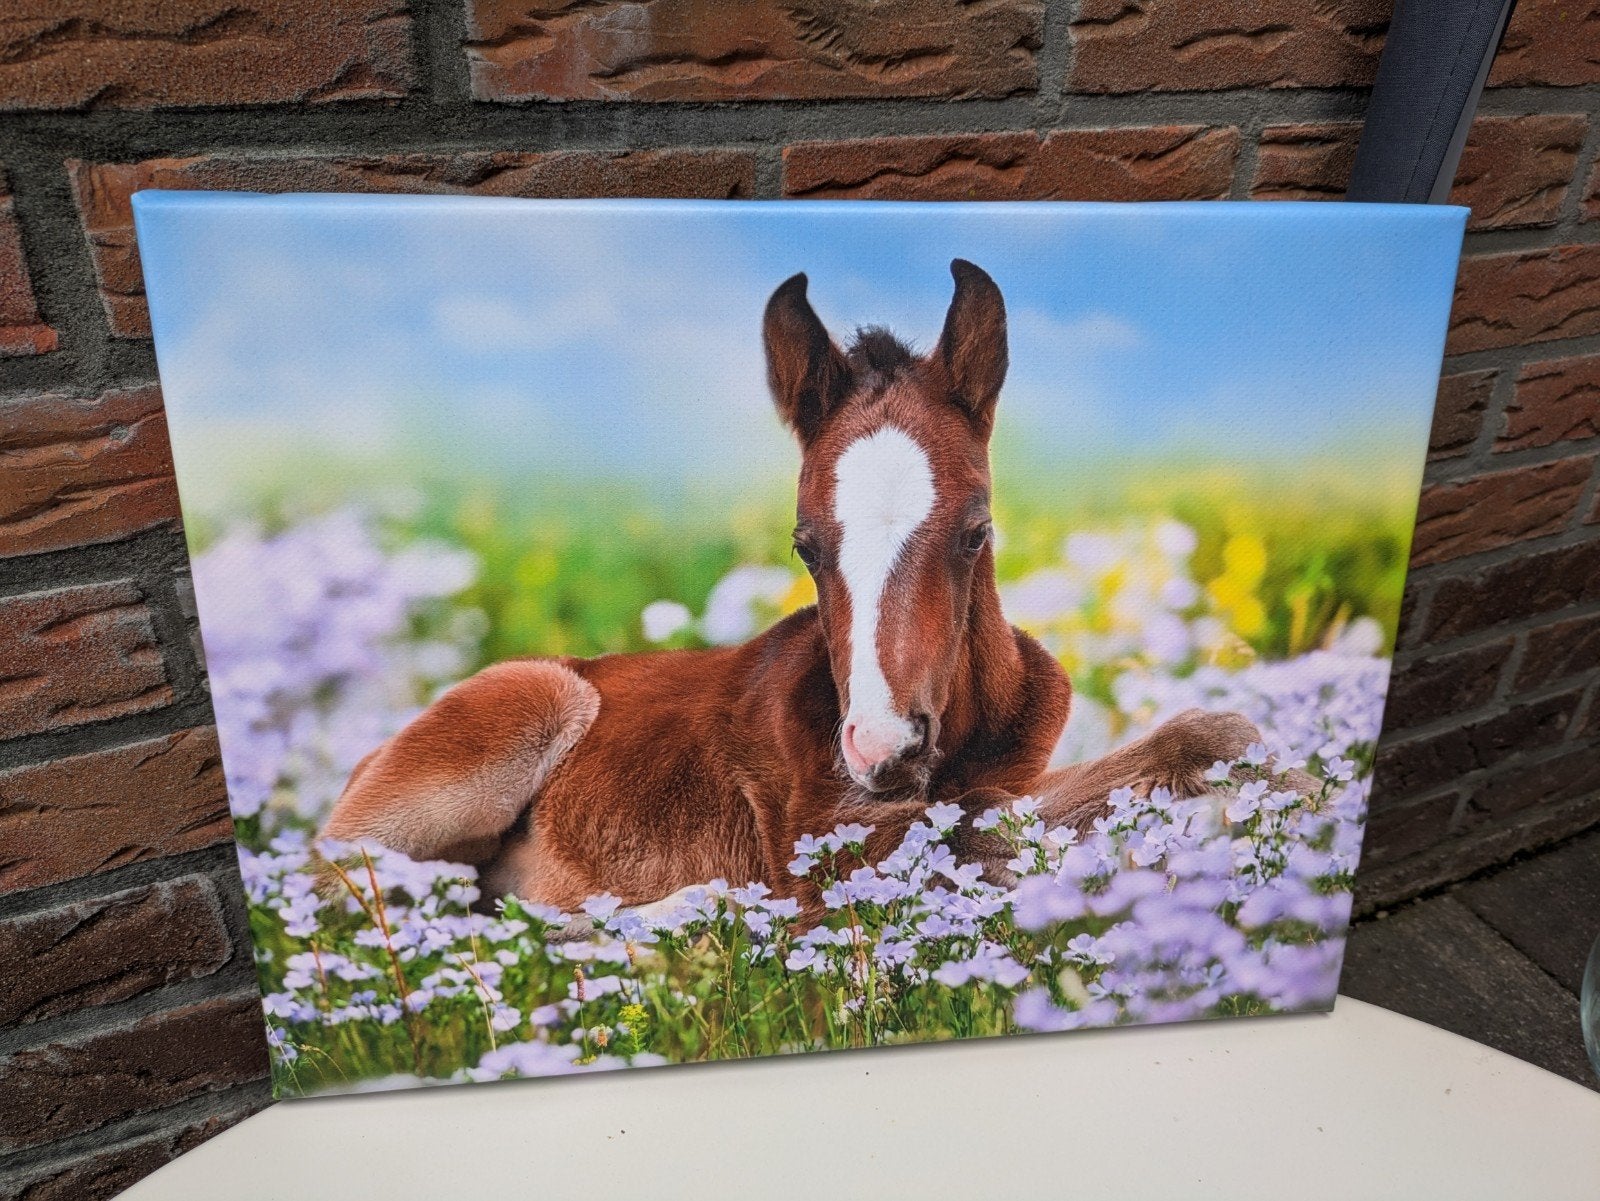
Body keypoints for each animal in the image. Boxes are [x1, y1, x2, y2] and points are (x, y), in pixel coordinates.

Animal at [321, 260, 1262, 916]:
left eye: (976, 531)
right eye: (806, 545)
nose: (883, 748)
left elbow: (1209, 729)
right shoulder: (836, 845)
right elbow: (975, 828)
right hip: (520, 712)